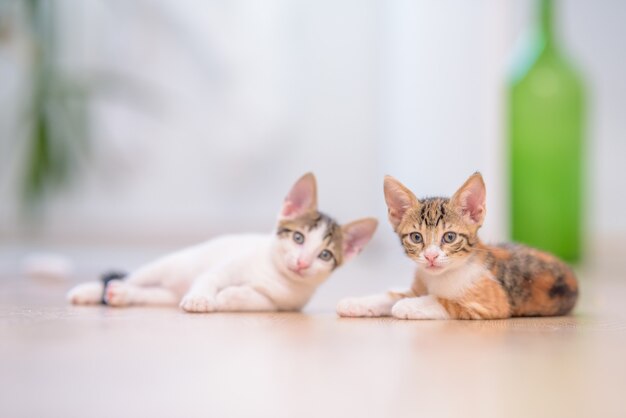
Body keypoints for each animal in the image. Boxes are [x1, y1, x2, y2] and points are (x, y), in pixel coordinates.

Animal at [67, 173, 376, 314]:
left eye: (324, 255)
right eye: (298, 238)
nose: (301, 263)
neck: (274, 274)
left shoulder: (287, 304)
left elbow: (261, 301)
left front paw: (231, 297)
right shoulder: (225, 268)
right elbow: (211, 278)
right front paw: (202, 298)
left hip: (166, 294)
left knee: (148, 293)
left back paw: (122, 294)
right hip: (170, 266)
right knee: (133, 276)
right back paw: (89, 291)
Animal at [336, 173, 576, 320]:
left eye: (449, 237)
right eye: (416, 237)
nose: (431, 256)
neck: (441, 276)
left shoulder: (492, 304)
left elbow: (444, 301)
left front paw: (408, 305)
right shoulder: (417, 286)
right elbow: (392, 295)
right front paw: (355, 303)